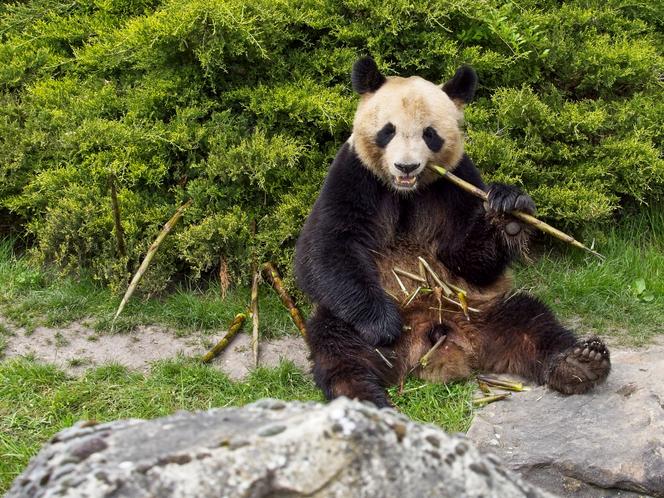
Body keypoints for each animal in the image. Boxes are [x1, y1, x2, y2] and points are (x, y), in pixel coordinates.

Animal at [294, 56, 610, 408]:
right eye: (388, 131)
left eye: (429, 134)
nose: (407, 167)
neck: (407, 192)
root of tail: (433, 341)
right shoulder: (353, 175)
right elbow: (325, 249)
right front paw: (384, 323)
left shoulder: (457, 181)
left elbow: (467, 259)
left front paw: (508, 212)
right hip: (349, 325)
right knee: (339, 348)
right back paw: (363, 400)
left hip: (482, 310)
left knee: (533, 322)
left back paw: (579, 363)